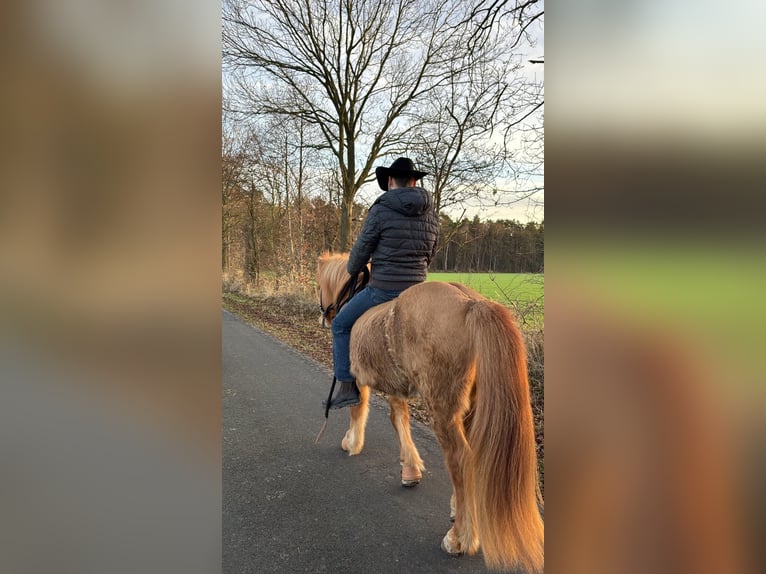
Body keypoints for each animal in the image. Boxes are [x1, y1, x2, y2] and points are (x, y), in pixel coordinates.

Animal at [316, 252, 544, 573]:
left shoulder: (360, 380)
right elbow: (399, 420)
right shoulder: (397, 388)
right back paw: (459, 511)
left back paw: (460, 538)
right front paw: (410, 468)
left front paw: (352, 442)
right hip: (470, 408)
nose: (324, 316)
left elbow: (358, 410)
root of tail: (470, 303)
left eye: (318, 285)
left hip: (443, 409)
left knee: (461, 459)